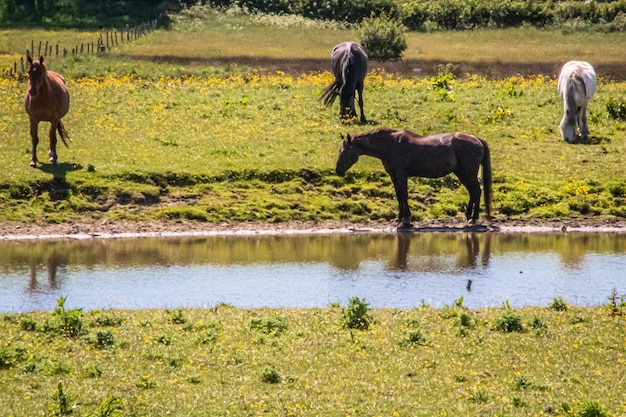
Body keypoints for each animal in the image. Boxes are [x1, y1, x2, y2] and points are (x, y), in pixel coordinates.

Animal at [334, 128, 490, 228]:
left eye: (345, 151)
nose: (338, 171)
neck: (390, 145)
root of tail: (477, 139)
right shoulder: (393, 175)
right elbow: (398, 195)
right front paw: (398, 218)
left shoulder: (401, 174)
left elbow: (404, 194)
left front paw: (406, 220)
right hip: (461, 173)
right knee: (473, 192)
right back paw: (468, 216)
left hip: (468, 173)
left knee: (477, 192)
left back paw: (473, 219)